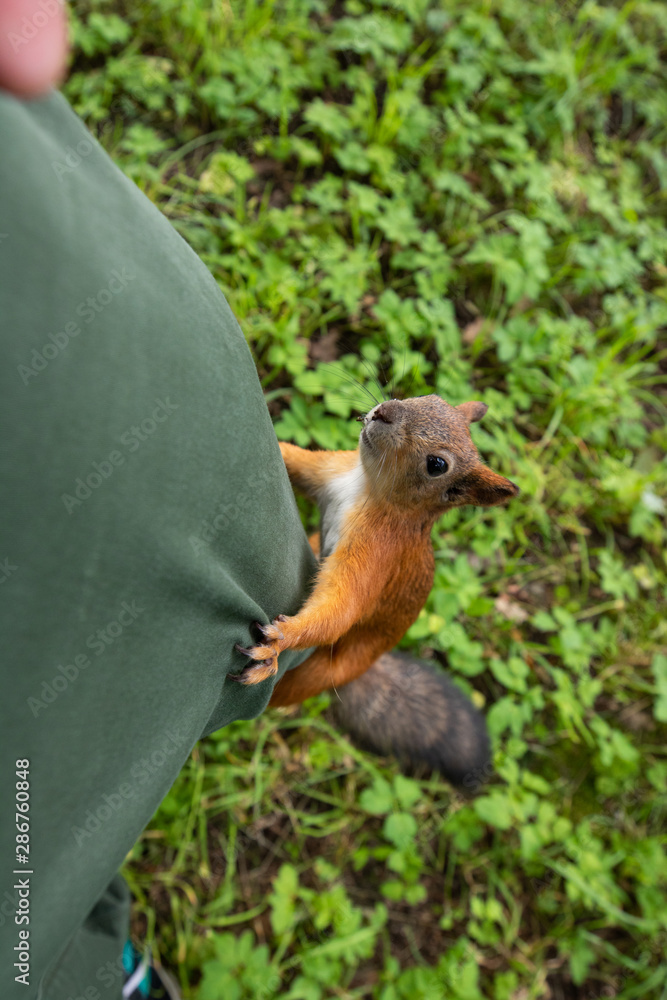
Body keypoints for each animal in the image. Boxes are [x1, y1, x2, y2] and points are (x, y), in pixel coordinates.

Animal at [232, 394, 519, 783]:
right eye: (430, 398)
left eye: (437, 464)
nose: (384, 412)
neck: (365, 488)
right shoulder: (332, 469)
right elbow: (293, 457)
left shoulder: (376, 555)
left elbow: (341, 606)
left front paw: (281, 640)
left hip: (313, 676)